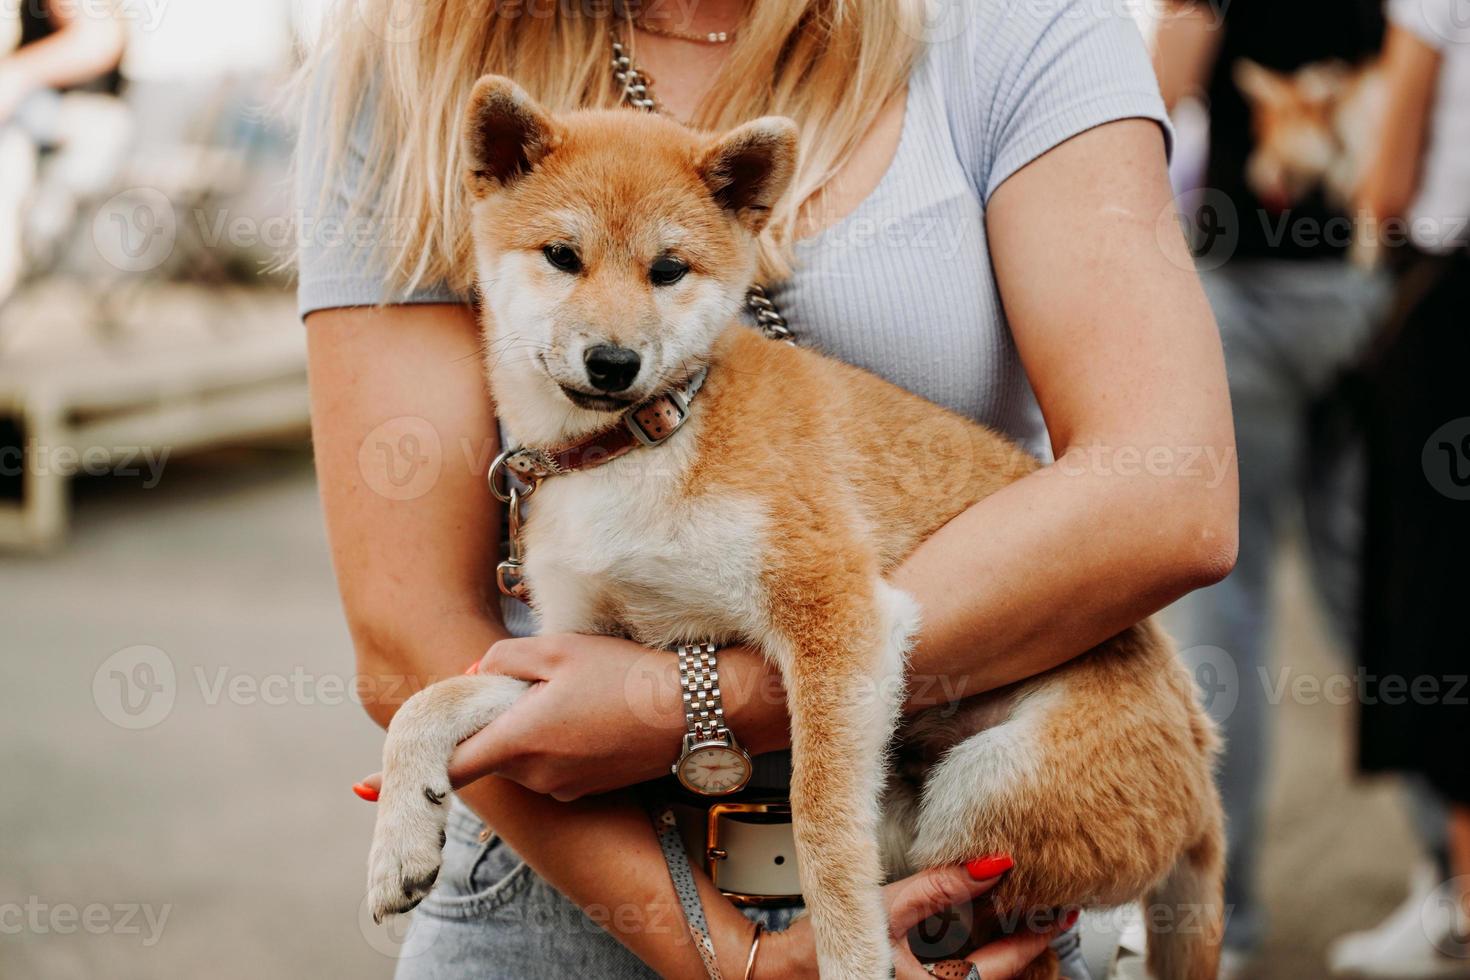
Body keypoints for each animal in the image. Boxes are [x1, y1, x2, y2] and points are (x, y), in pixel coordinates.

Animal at [370, 74, 1228, 980]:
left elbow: (819, 827)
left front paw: (848, 956)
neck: (645, 442)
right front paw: (401, 830)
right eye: (562, 256)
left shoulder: (834, 610)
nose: (612, 362)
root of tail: (1202, 758)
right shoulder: (586, 648)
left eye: (668, 269)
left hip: (983, 799)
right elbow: (434, 699)